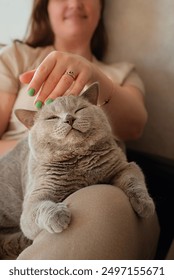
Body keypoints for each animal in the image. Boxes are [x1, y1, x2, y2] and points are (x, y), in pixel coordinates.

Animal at [0, 82, 155, 260]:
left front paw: (145, 205)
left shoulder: (125, 166)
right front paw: (58, 216)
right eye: (52, 118)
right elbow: (40, 208)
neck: (80, 163)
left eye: (79, 109)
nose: (69, 118)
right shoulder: (33, 201)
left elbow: (133, 182)